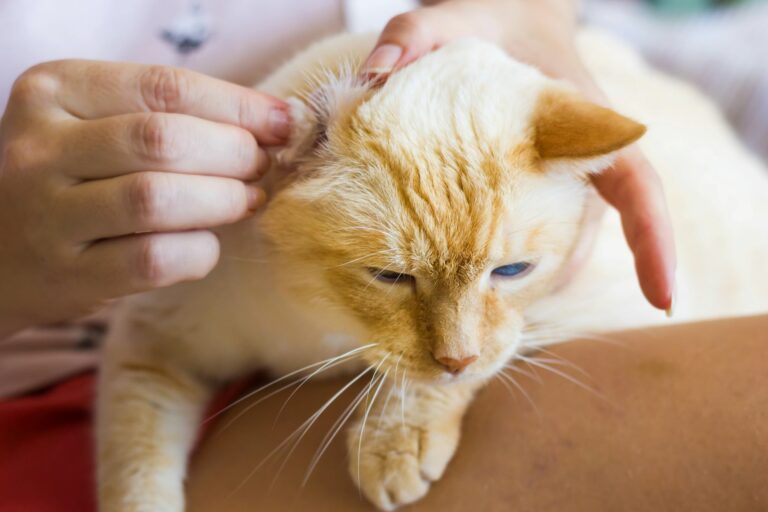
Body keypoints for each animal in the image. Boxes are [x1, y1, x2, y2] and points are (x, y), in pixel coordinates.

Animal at [96, 30, 768, 510]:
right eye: (391, 277)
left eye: (512, 271)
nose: (456, 358)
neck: (323, 328)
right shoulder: (154, 342)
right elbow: (135, 468)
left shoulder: (590, 307)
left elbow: (463, 365)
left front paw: (394, 447)